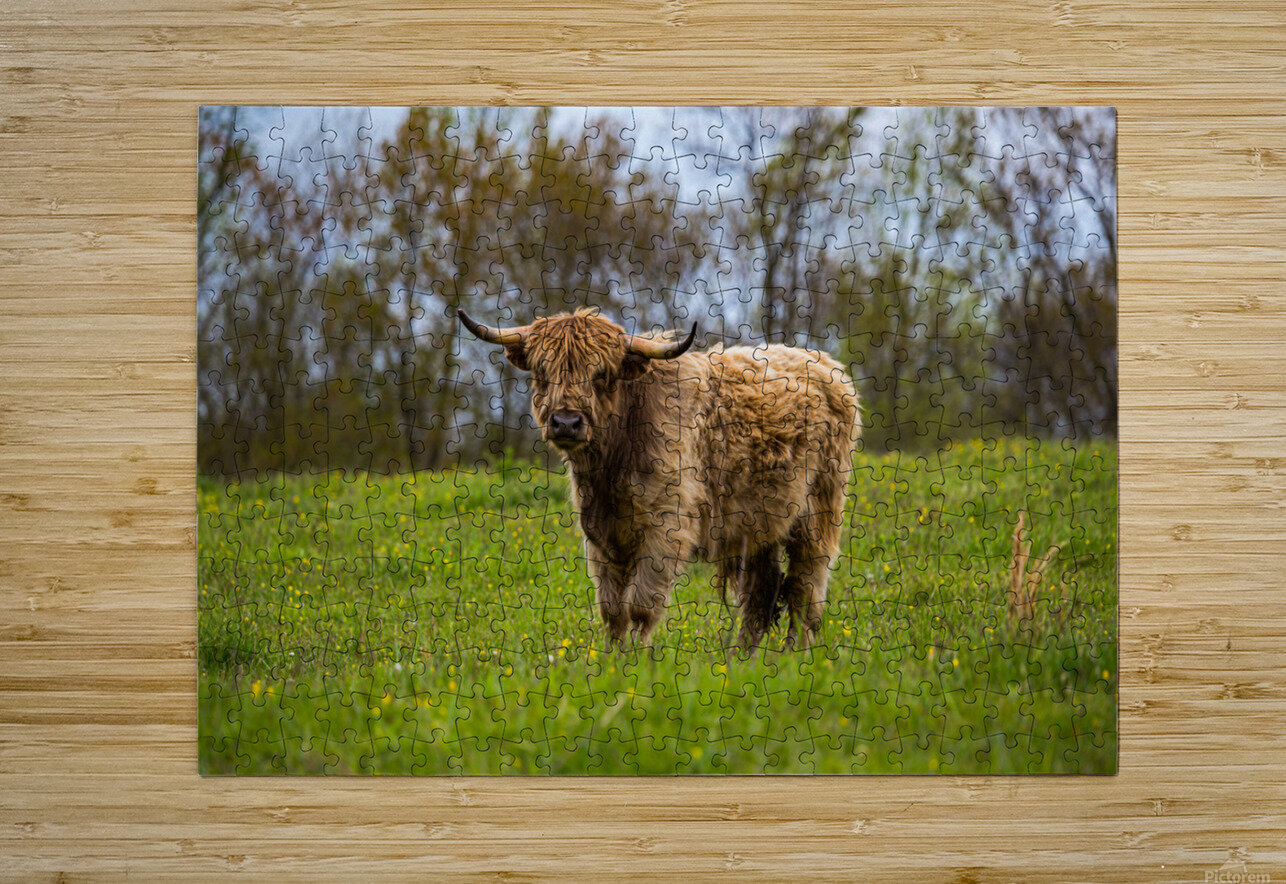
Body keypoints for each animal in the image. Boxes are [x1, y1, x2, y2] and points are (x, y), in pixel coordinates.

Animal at [458, 308, 860, 651]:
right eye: (543, 373)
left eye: (602, 375)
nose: (566, 422)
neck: (610, 468)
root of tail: (826, 365)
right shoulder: (601, 537)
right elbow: (612, 611)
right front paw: (613, 662)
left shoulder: (666, 529)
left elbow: (639, 606)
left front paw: (638, 662)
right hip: (763, 525)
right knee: (762, 594)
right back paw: (743, 659)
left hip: (817, 515)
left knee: (805, 589)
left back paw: (795, 654)